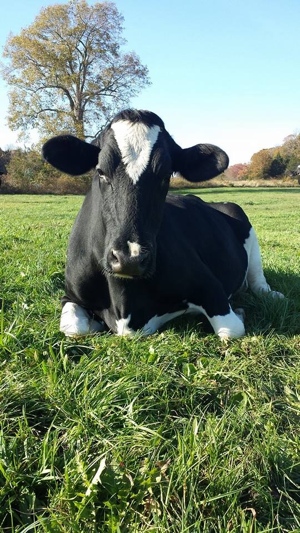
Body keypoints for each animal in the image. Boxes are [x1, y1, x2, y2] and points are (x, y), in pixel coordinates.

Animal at [42, 109, 284, 338]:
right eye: (101, 171)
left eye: (166, 175)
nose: (130, 258)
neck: (125, 304)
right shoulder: (70, 294)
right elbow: (74, 327)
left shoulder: (212, 288)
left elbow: (231, 329)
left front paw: (240, 313)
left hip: (243, 221)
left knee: (258, 281)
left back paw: (273, 294)